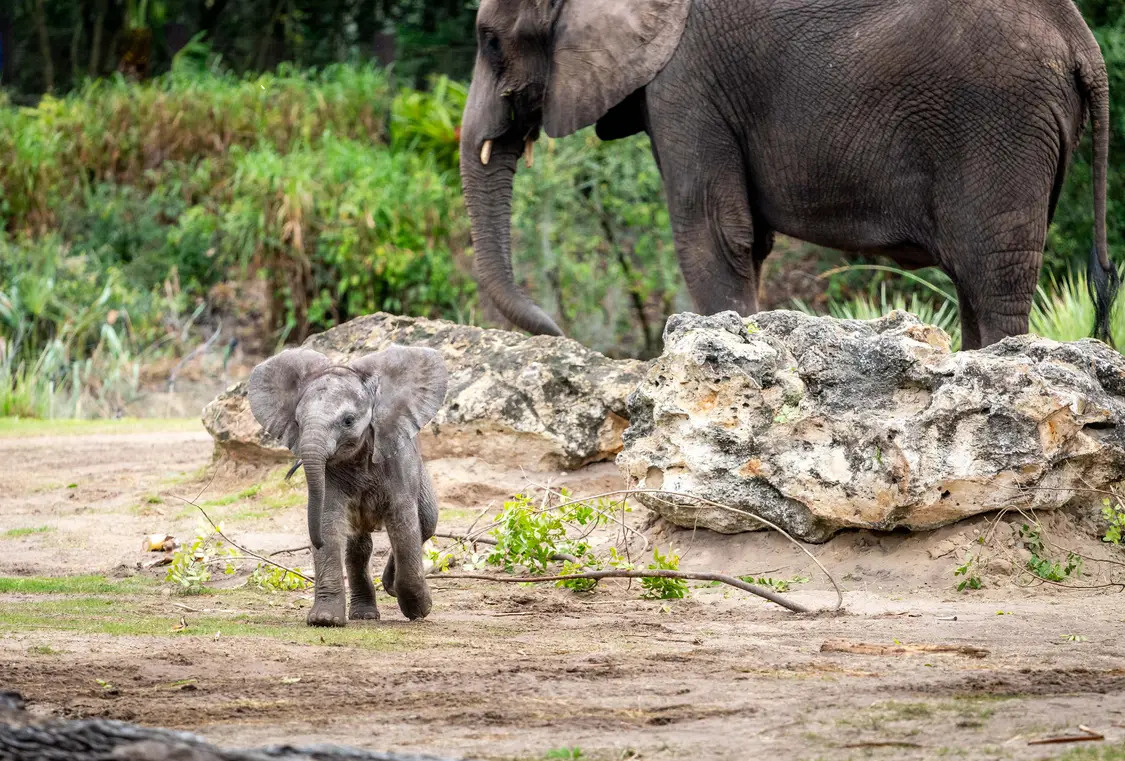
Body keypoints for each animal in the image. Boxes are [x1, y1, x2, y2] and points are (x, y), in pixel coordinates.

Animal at [247, 344, 447, 625]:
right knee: (358, 548)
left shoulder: (398, 464)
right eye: (297, 422)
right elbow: (328, 520)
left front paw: (419, 610)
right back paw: (365, 614)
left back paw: (390, 587)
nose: (314, 542)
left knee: (426, 524)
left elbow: (404, 525)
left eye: (348, 421)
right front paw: (324, 620)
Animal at [456, 0, 1116, 348]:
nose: (558, 333)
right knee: (975, 279)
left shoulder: (687, 79)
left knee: (993, 277)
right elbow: (745, 241)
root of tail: (1083, 42)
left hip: (998, 123)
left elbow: (713, 235)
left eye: (489, 41)